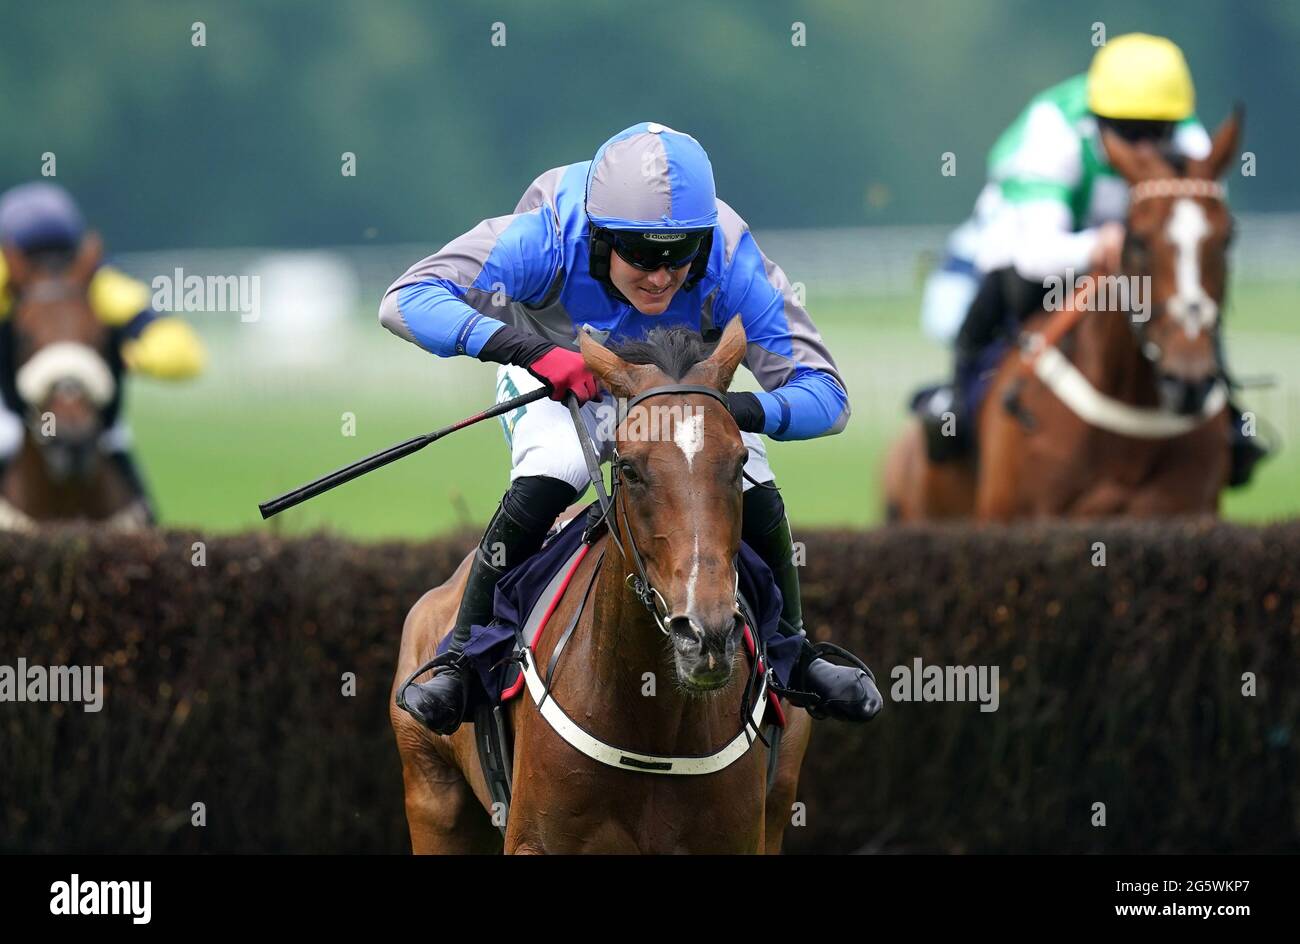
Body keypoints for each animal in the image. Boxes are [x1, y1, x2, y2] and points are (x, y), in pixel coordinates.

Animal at [387, 319, 811, 858]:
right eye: (629, 468)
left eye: (739, 463)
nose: (706, 635)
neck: (654, 725)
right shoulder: (533, 841)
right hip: (432, 795)